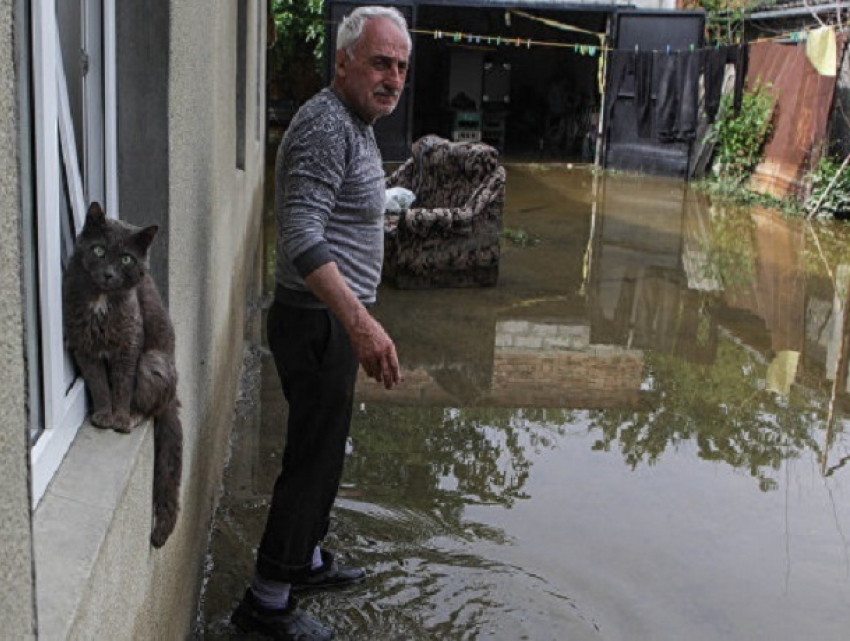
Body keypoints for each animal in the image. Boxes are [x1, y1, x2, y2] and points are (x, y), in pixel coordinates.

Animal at [62, 202, 182, 548]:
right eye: (99, 250)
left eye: (127, 258)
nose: (109, 273)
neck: (100, 302)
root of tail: (175, 395)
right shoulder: (84, 347)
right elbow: (100, 385)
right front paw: (104, 416)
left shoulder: (128, 348)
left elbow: (121, 387)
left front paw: (119, 419)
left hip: (153, 363)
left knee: (151, 408)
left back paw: (133, 417)